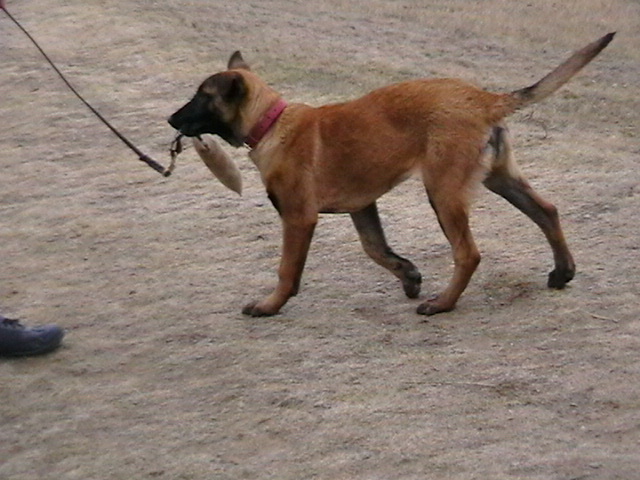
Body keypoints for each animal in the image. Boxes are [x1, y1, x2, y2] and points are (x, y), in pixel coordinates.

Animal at [169, 34, 616, 318]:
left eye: (201, 97)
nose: (171, 118)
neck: (272, 122)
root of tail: (483, 98)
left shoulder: (298, 218)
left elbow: (287, 270)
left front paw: (269, 306)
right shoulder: (363, 206)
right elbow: (376, 249)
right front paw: (409, 275)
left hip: (443, 191)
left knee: (468, 253)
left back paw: (442, 304)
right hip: (499, 178)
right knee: (547, 211)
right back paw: (562, 272)